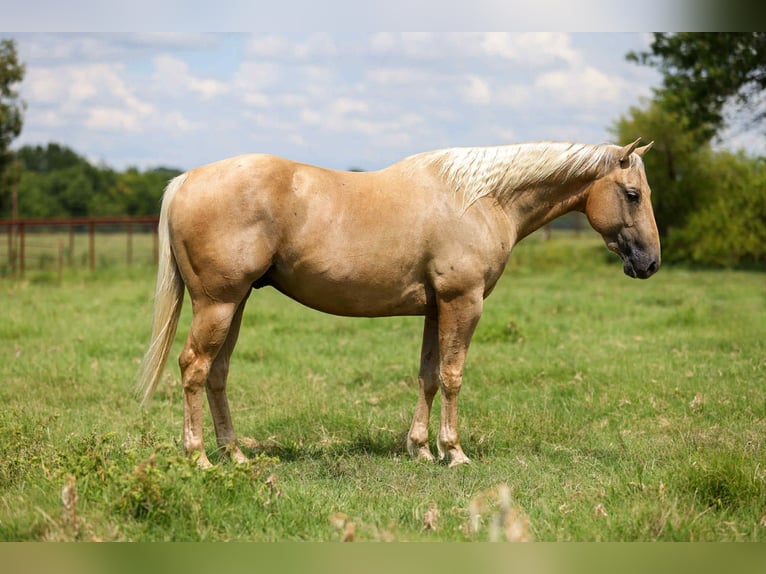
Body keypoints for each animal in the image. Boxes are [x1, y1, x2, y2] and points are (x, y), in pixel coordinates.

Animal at [137, 138, 660, 468]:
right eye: (632, 194)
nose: (650, 263)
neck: (480, 199)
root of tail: (186, 180)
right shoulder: (462, 302)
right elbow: (452, 377)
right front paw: (454, 452)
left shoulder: (435, 308)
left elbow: (428, 376)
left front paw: (421, 449)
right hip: (218, 304)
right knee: (194, 367)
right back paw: (199, 457)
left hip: (236, 303)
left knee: (217, 373)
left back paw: (236, 453)